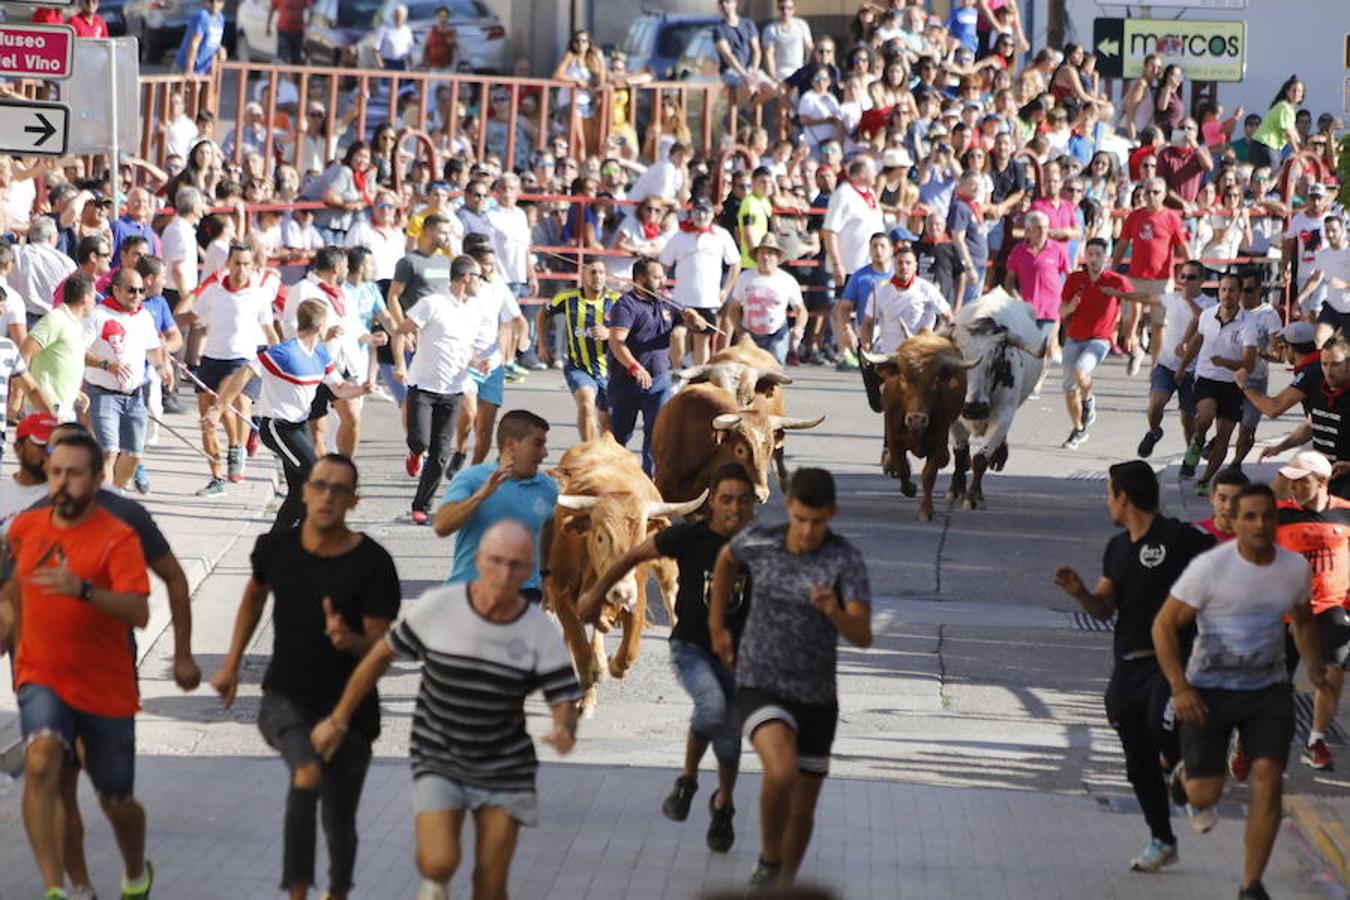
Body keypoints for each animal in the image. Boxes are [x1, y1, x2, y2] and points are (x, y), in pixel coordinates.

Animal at [545, 437, 707, 717]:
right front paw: (587, 698)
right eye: (601, 536)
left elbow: (629, 652)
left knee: (670, 596)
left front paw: (612, 665)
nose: (622, 591)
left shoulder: (637, 596)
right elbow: (580, 650)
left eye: (641, 538)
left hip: (666, 570)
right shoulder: (560, 595)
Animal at [864, 334, 982, 520]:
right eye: (903, 379)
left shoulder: (938, 440)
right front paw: (910, 488)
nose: (917, 419)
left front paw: (926, 510)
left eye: (935, 382)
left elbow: (929, 475)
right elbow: (902, 467)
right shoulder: (894, 440)